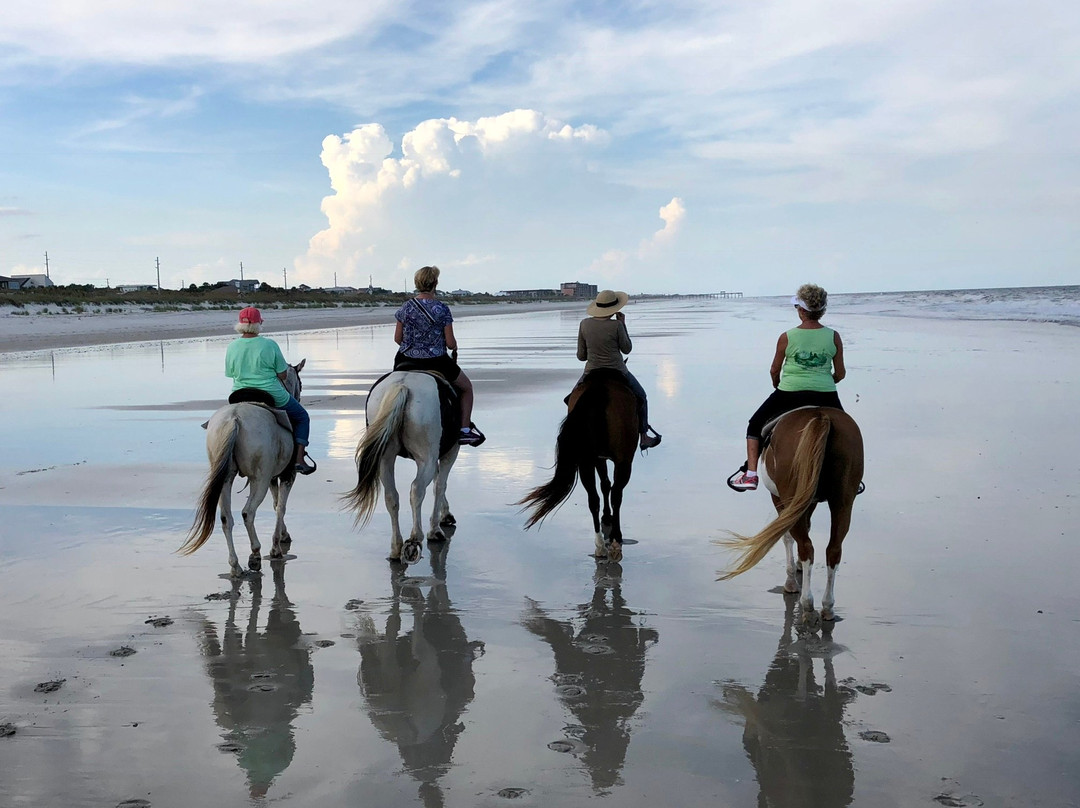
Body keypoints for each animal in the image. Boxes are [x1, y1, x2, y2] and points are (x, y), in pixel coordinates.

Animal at [178, 358, 304, 574]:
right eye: (301, 385)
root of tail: (235, 418)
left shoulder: (273, 477)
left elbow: (276, 503)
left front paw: (283, 535)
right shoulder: (286, 475)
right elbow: (281, 506)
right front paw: (276, 547)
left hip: (225, 478)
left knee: (225, 518)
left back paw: (235, 565)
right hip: (258, 480)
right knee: (248, 512)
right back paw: (255, 555)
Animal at [345, 371, 460, 566]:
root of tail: (403, 385)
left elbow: (438, 482)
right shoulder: (450, 452)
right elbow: (440, 485)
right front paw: (436, 529)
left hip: (385, 458)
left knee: (391, 496)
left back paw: (395, 548)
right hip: (425, 458)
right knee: (417, 489)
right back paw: (414, 540)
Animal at [516, 367, 635, 561]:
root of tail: (599, 389)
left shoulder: (597, 458)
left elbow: (604, 485)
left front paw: (606, 516)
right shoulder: (609, 459)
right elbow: (609, 486)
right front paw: (608, 518)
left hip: (586, 461)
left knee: (593, 499)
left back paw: (600, 546)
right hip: (623, 460)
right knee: (617, 494)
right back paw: (616, 542)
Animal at [721, 406, 864, 622]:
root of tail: (821, 415)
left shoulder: (781, 499)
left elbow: (787, 536)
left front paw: (791, 579)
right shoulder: (808, 500)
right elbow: (806, 528)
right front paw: (797, 567)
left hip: (791, 495)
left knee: (807, 547)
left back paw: (808, 604)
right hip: (843, 502)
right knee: (833, 550)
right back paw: (828, 607)